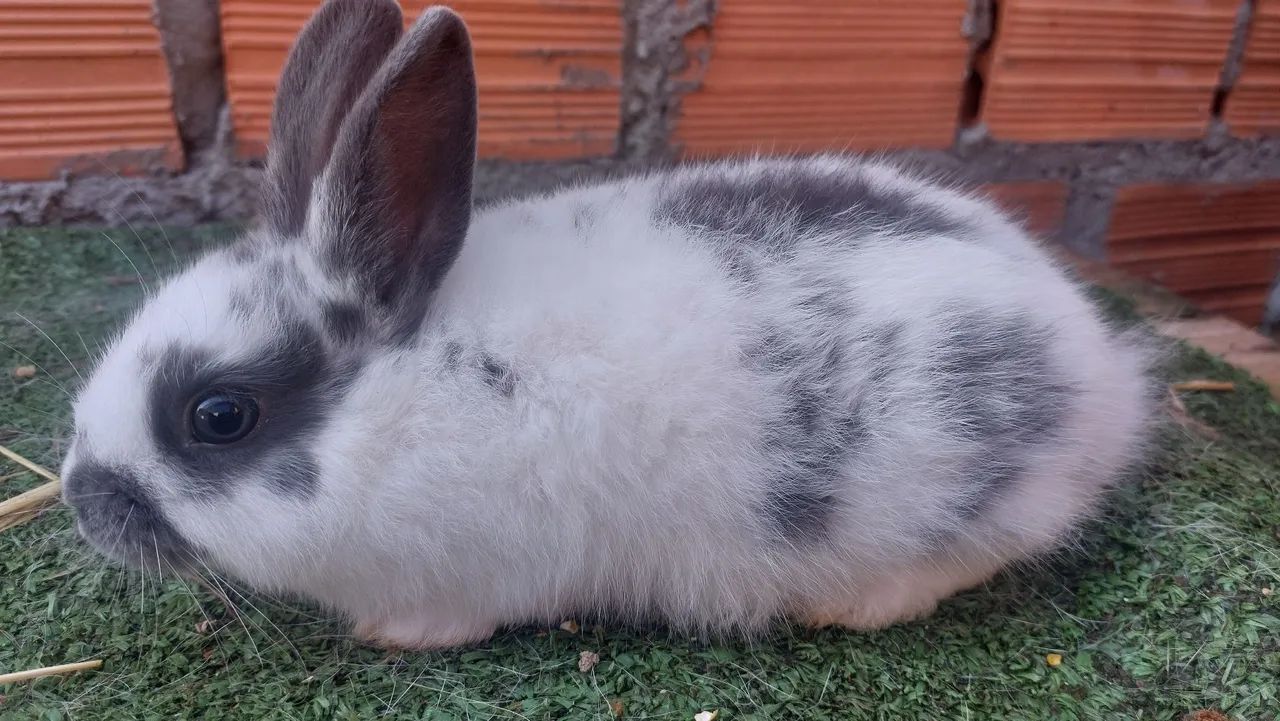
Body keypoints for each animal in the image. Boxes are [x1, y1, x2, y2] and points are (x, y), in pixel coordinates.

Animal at [61, 0, 1157, 650]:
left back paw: (853, 602)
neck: (403, 378)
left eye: (218, 416)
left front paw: (385, 633)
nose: (80, 496)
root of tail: (1101, 366)